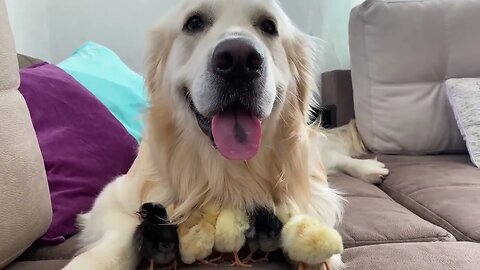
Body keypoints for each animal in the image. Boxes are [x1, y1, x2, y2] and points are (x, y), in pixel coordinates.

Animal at [63, 0, 388, 270]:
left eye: (268, 26)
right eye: (194, 22)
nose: (239, 61)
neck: (226, 169)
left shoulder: (308, 186)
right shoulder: (114, 195)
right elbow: (118, 238)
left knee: (332, 157)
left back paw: (371, 169)